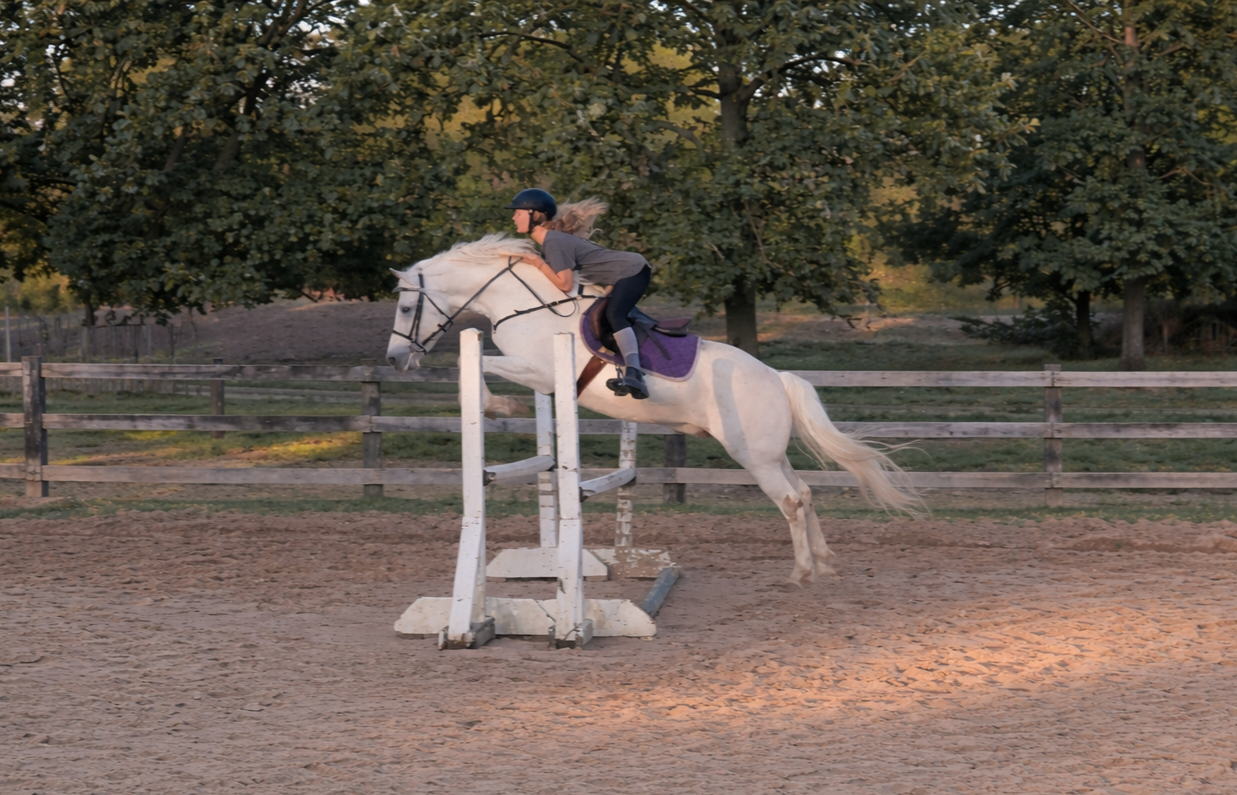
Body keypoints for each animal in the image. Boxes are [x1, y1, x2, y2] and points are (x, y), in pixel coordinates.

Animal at [385, 233, 921, 585]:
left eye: (407, 308)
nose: (394, 360)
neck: (523, 305)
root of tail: (776, 378)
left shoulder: (538, 372)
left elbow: (480, 364)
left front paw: (498, 406)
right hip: (770, 452)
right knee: (805, 494)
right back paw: (825, 560)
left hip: (753, 456)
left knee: (789, 500)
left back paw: (802, 571)